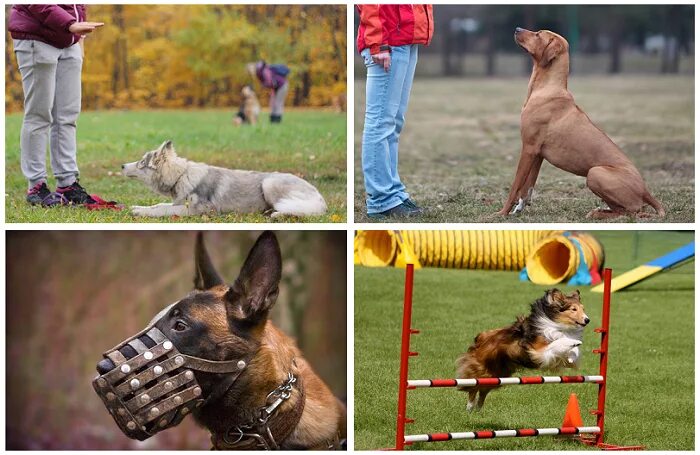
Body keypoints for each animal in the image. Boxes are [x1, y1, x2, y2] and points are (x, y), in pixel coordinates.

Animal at [121, 140, 326, 218]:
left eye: (141, 163)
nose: (122, 166)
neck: (180, 176)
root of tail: (320, 198)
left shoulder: (199, 210)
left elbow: (163, 209)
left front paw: (140, 212)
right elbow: (158, 205)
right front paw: (138, 208)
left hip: (269, 183)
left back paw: (278, 214)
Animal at [456, 292, 588, 414]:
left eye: (583, 308)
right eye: (574, 309)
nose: (587, 320)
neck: (556, 323)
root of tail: (481, 338)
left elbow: (570, 354)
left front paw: (572, 354)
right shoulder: (539, 350)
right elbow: (559, 341)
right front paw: (574, 342)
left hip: (497, 375)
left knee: (483, 389)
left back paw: (478, 407)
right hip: (482, 370)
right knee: (473, 386)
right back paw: (470, 406)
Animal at [494, 27, 664, 220]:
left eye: (538, 34)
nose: (517, 29)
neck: (547, 88)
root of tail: (645, 190)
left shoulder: (528, 148)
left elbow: (515, 185)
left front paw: (502, 213)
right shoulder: (537, 154)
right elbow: (527, 186)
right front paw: (519, 207)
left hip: (595, 173)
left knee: (630, 211)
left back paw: (597, 213)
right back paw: (600, 211)